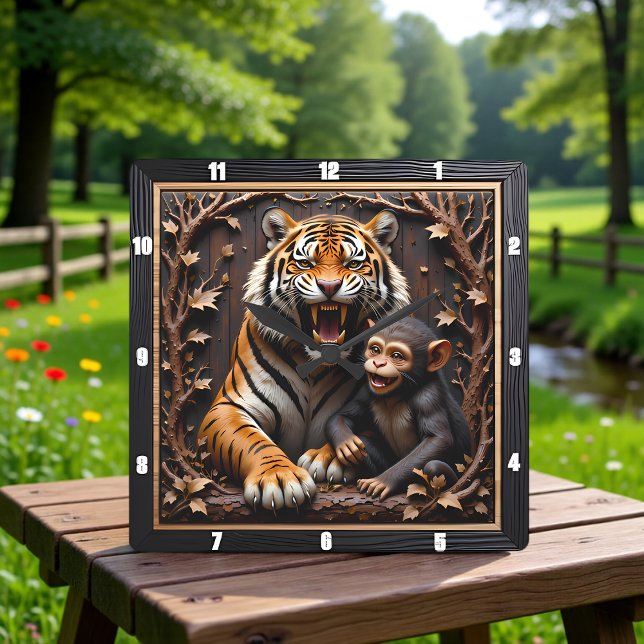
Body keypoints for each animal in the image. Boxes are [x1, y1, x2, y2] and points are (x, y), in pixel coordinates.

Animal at [197, 206, 411, 511]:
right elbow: (252, 440)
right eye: (306, 264)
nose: (329, 286)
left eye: (353, 264)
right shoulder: (228, 407)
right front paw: (279, 478)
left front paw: (329, 456)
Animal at [324, 316, 472, 500]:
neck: (396, 394)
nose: (378, 362)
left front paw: (383, 481)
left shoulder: (428, 397)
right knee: (363, 443)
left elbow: (438, 440)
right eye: (375, 350)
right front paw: (346, 442)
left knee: (434, 467)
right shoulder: (366, 392)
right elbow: (341, 416)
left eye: (396, 356)